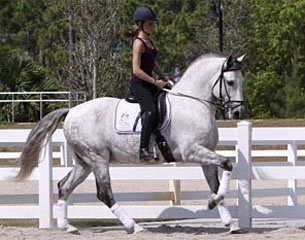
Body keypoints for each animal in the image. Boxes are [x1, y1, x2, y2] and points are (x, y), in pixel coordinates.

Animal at [16, 53, 245, 233]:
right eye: (231, 82)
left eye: (241, 80)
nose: (238, 113)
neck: (193, 104)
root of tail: (71, 111)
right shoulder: (191, 152)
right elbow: (227, 164)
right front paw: (214, 203)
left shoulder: (206, 155)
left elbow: (216, 183)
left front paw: (228, 221)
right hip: (98, 159)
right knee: (104, 194)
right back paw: (134, 226)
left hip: (84, 163)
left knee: (64, 186)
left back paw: (68, 227)